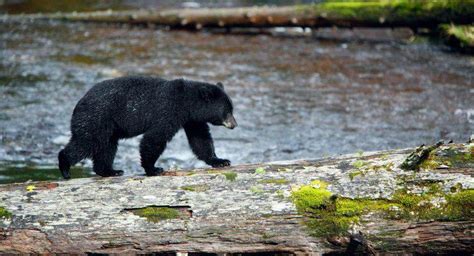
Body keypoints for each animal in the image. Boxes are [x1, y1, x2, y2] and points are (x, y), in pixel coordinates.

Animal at [59, 76, 237, 179]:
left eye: (231, 109)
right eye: (227, 111)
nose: (234, 124)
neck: (187, 102)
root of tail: (79, 102)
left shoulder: (192, 119)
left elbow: (200, 139)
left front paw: (220, 161)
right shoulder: (168, 111)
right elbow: (155, 137)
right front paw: (153, 169)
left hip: (107, 128)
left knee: (107, 147)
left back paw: (110, 171)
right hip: (96, 118)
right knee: (85, 143)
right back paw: (65, 167)